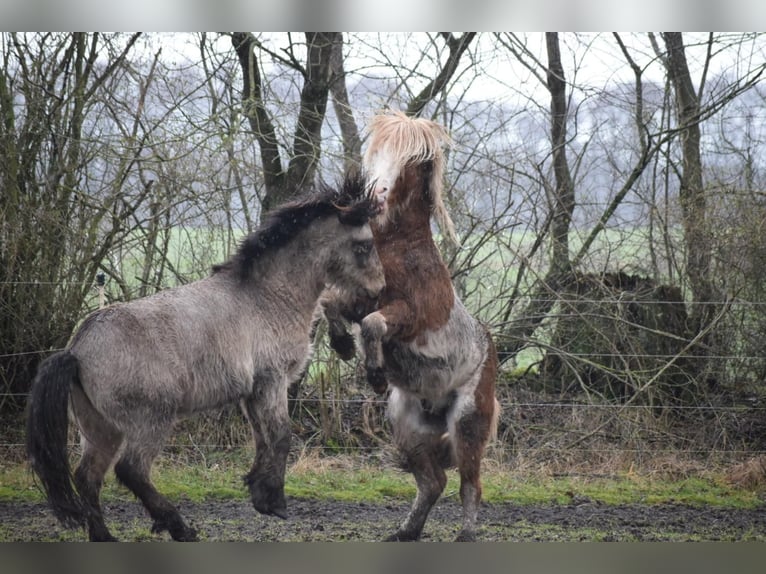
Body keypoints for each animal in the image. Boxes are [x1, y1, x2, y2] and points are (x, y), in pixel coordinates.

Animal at [27, 176, 388, 544]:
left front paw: (258, 492)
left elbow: (261, 438)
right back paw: (179, 527)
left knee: (88, 476)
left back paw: (106, 537)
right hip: (150, 420)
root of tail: (77, 349)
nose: (377, 295)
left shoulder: (252, 392)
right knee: (131, 471)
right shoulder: (273, 381)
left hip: (101, 429)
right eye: (363, 246)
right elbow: (282, 436)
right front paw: (275, 502)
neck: (267, 297)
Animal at [326, 110, 500, 544]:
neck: (398, 249)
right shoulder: (357, 297)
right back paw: (405, 532)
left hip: (468, 422)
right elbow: (331, 304)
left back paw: (466, 535)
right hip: (407, 428)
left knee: (470, 483)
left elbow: (373, 324)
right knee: (433, 482)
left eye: (416, 159)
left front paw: (373, 373)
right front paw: (342, 345)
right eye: (378, 149)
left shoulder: (406, 315)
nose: (377, 194)